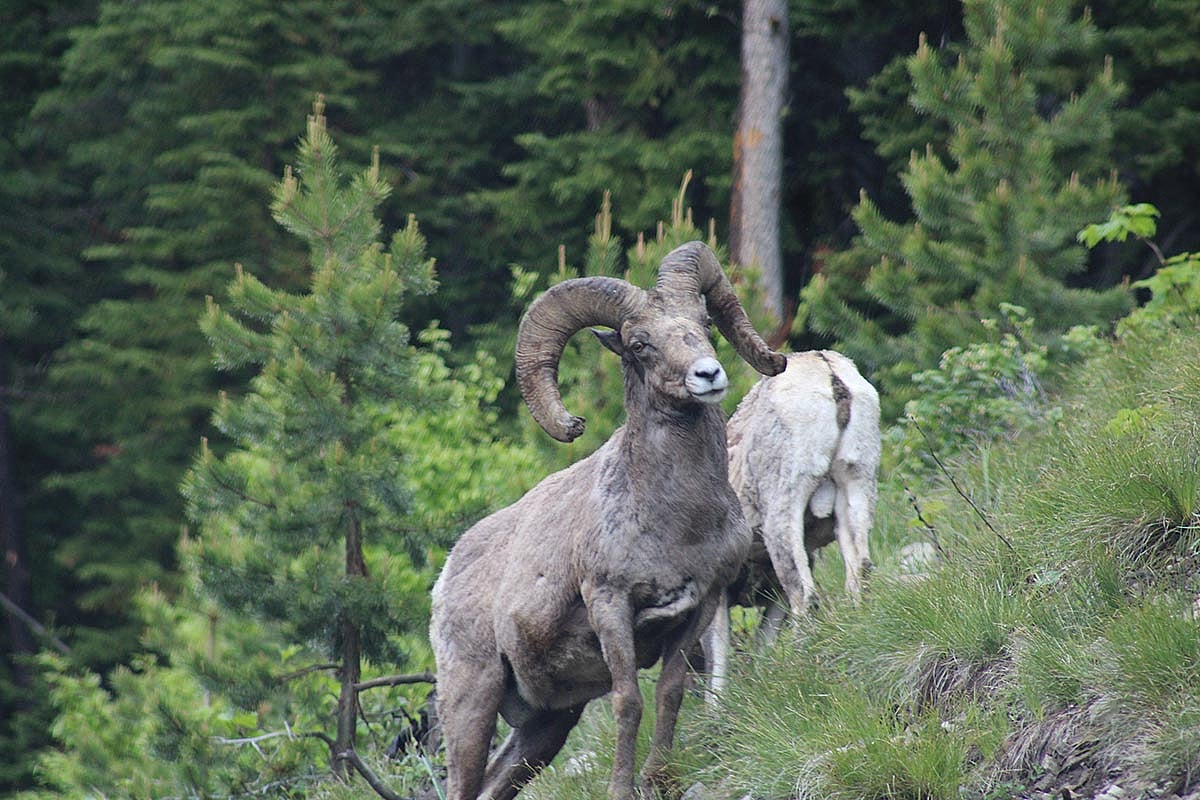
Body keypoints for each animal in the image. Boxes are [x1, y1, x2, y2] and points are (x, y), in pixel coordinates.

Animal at [429, 241, 785, 800]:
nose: (708, 375)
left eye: (704, 321)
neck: (679, 525)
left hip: (547, 724)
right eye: (640, 344)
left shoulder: (700, 605)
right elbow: (628, 702)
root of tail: (446, 576)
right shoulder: (611, 606)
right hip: (471, 700)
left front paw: (659, 779)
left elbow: (669, 693)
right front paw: (622, 787)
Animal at [703, 350, 880, 700]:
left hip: (784, 511)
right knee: (859, 574)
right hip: (857, 485)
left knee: (805, 596)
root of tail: (830, 374)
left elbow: (719, 653)